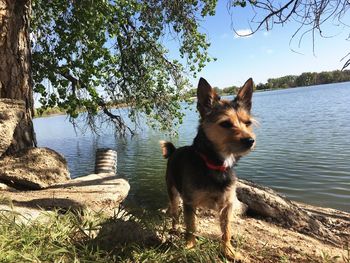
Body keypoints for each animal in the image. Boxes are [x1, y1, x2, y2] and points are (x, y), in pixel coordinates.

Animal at [160, 77, 256, 262]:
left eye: (247, 123)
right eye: (226, 123)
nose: (250, 140)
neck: (214, 164)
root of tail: (174, 151)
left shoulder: (227, 206)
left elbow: (226, 231)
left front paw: (229, 251)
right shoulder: (189, 203)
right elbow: (191, 227)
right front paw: (190, 247)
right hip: (173, 193)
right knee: (175, 214)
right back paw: (174, 230)